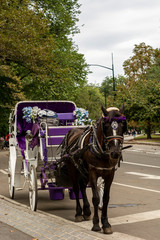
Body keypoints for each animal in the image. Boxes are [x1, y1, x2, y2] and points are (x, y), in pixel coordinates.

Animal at [58, 104, 127, 233]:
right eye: (106, 126)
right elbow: (95, 198)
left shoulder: (109, 174)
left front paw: (106, 224)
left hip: (84, 172)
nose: (115, 153)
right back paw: (78, 213)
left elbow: (105, 198)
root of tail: (71, 130)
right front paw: (96, 224)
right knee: (76, 189)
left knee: (82, 187)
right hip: (74, 170)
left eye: (122, 125)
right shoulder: (93, 172)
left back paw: (86, 211)